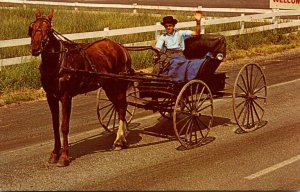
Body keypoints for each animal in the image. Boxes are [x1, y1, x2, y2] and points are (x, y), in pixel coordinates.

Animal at [28, 9, 134, 166]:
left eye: (48, 29)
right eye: (32, 27)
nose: (35, 48)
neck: (59, 60)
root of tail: (121, 47)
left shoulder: (66, 96)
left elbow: (64, 126)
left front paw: (64, 156)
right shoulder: (50, 96)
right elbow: (55, 125)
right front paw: (55, 153)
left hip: (118, 84)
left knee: (121, 108)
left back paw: (119, 140)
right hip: (108, 86)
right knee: (118, 106)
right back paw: (123, 135)